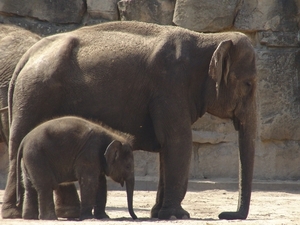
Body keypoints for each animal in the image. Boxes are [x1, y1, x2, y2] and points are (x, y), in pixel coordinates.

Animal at [2, 21, 256, 220]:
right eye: (249, 84)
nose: (225, 215)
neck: (209, 39)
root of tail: (28, 56)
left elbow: (167, 145)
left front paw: (158, 213)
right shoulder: (170, 85)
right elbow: (178, 140)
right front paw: (177, 215)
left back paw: (58, 213)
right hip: (36, 94)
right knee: (19, 144)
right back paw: (17, 214)